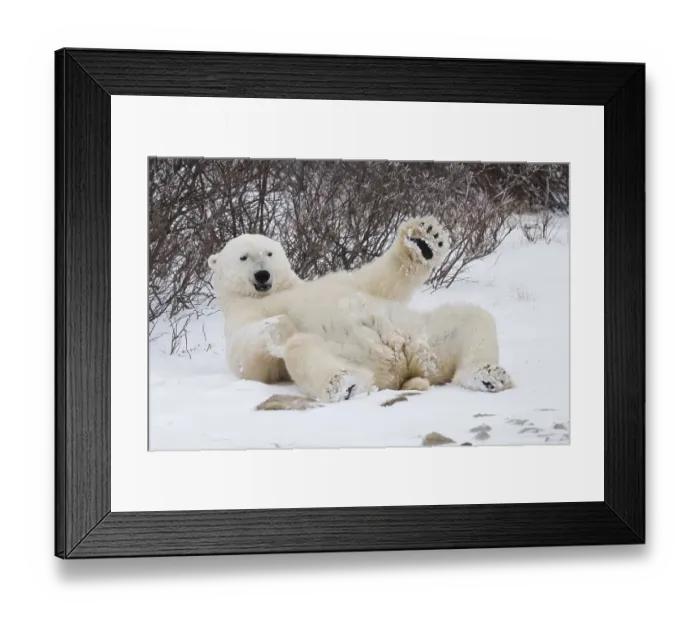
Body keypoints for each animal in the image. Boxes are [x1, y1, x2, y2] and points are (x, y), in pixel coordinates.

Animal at [207, 219, 513, 403]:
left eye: (269, 253)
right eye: (243, 257)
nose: (262, 275)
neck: (274, 292)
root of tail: (403, 369)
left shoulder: (339, 282)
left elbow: (380, 282)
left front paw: (424, 240)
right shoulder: (240, 317)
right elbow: (250, 361)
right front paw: (276, 327)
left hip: (427, 340)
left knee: (470, 318)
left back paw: (488, 375)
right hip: (351, 354)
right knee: (302, 349)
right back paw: (344, 384)